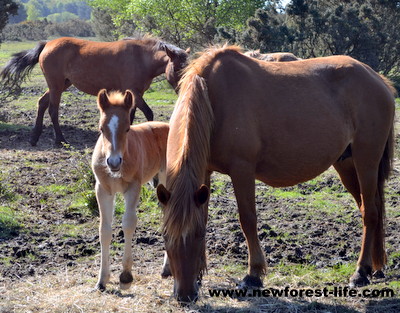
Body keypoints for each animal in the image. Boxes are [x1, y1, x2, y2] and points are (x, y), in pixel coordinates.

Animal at [0, 36, 188, 145]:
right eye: (177, 68)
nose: (183, 90)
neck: (141, 57)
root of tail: (47, 44)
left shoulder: (135, 94)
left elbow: (131, 116)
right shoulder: (134, 92)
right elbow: (149, 113)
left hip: (61, 84)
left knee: (42, 103)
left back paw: (34, 138)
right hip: (56, 86)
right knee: (53, 109)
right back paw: (60, 140)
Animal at [158, 45, 396, 302]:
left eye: (197, 236)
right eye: (165, 236)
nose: (184, 294)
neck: (212, 96)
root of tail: (377, 78)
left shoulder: (242, 170)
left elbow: (248, 220)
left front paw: (253, 275)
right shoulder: (206, 171)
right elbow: (204, 215)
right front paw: (201, 275)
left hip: (366, 161)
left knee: (370, 213)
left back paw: (361, 272)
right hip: (346, 165)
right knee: (368, 208)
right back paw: (374, 267)